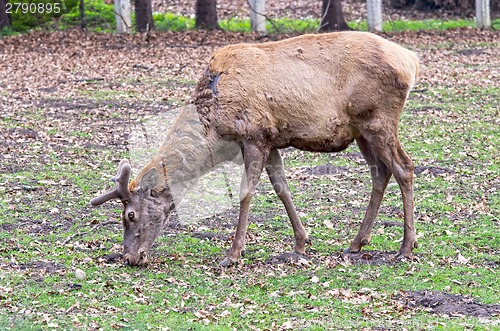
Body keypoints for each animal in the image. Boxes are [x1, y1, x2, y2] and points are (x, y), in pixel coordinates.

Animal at [90, 31, 418, 268]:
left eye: (130, 215)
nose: (130, 257)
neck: (215, 127)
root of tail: (410, 60)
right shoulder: (271, 141)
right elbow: (282, 188)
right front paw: (301, 243)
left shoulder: (254, 136)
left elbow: (246, 192)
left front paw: (233, 253)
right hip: (362, 130)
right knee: (380, 172)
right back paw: (357, 242)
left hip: (379, 120)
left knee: (404, 167)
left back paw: (406, 247)